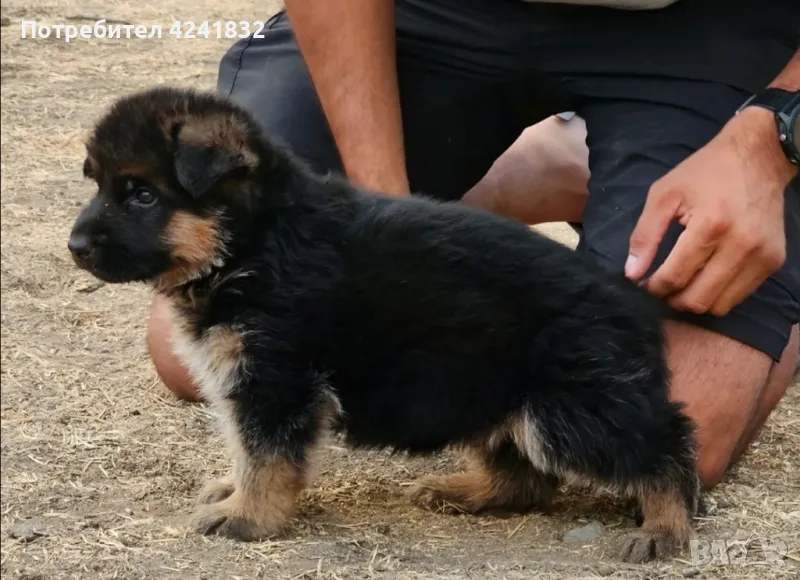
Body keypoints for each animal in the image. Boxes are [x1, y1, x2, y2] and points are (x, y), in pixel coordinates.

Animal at [69, 88, 700, 564]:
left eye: (142, 195)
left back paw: (665, 526)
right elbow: (246, 448)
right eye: (97, 184)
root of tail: (633, 306)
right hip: (486, 390)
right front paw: (236, 490)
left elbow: (267, 456)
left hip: (568, 410)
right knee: (526, 476)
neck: (254, 240)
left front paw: (248, 516)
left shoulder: (275, 380)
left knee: (665, 444)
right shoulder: (248, 378)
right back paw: (464, 490)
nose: (74, 247)